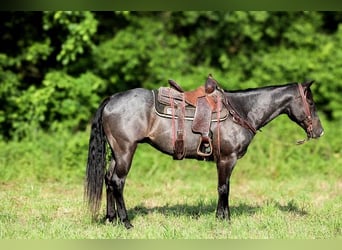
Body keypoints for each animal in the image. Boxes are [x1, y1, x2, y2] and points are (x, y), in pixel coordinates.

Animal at [85, 79, 324, 229]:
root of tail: (112, 99)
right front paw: (224, 220)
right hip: (125, 151)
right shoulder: (227, 159)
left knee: (108, 179)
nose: (320, 131)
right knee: (118, 182)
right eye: (311, 102)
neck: (241, 110)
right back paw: (126, 222)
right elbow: (224, 188)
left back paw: (110, 219)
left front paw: (221, 217)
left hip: (116, 153)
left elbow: (224, 188)